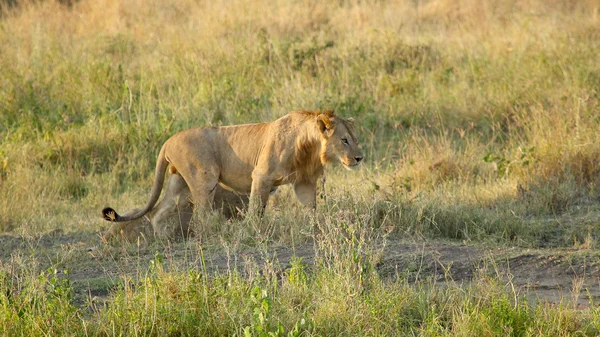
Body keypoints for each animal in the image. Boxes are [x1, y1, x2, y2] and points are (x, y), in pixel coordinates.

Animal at [101, 109, 364, 238]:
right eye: (344, 140)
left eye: (356, 139)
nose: (359, 158)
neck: (310, 146)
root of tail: (168, 141)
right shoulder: (261, 176)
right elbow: (256, 209)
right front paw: (252, 231)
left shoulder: (304, 182)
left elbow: (311, 208)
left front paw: (315, 228)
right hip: (205, 179)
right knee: (201, 216)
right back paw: (215, 232)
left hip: (179, 184)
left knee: (158, 213)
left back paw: (164, 238)